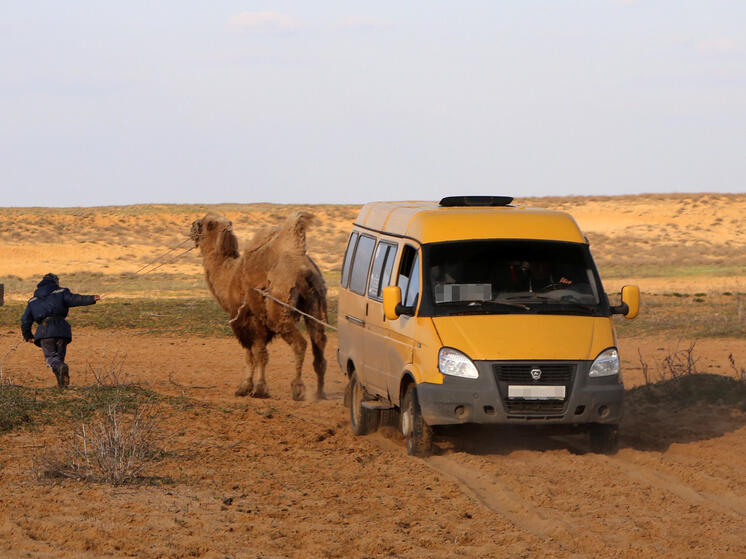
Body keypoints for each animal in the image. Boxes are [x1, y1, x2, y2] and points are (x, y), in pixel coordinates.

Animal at [189, 212, 326, 400]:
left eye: (206, 223)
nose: (192, 226)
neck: (229, 276)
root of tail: (303, 268)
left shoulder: (247, 319)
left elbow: (255, 354)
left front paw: (255, 388)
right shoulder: (256, 322)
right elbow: (254, 354)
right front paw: (249, 387)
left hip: (279, 311)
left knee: (300, 344)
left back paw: (298, 388)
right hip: (316, 304)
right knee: (319, 344)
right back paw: (320, 392)